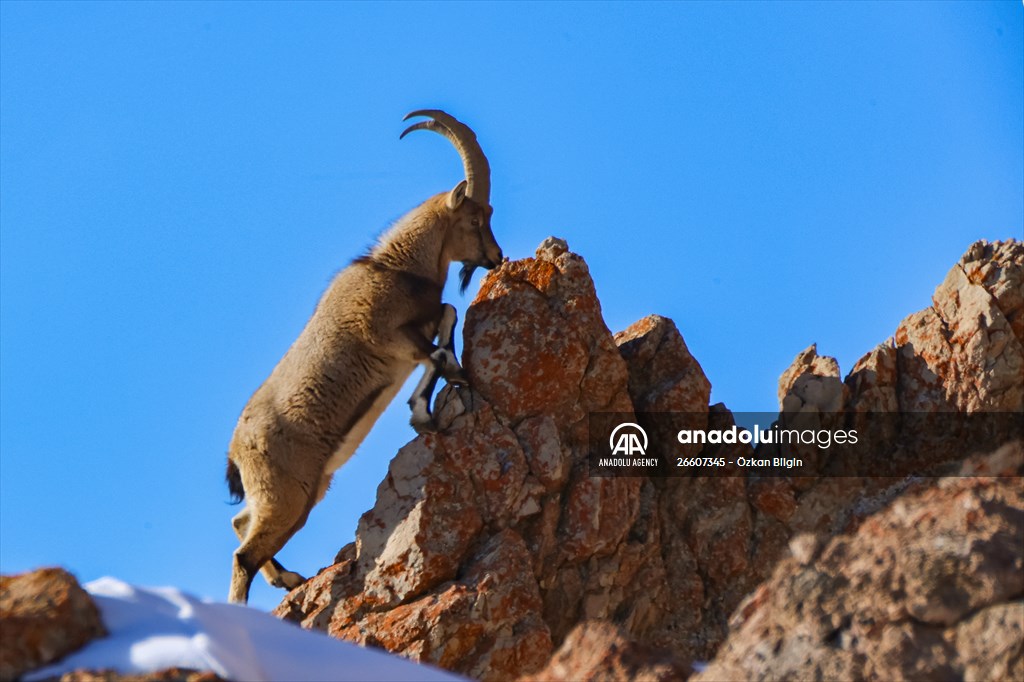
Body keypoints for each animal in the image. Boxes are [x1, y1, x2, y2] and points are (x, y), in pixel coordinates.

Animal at [225, 110, 502, 604]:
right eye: (475, 217)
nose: (497, 257)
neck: (396, 268)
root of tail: (236, 450)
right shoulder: (386, 338)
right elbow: (432, 354)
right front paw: (424, 414)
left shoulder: (421, 324)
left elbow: (447, 318)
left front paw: (453, 376)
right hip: (287, 497)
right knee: (243, 557)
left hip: (297, 492)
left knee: (241, 525)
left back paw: (288, 579)